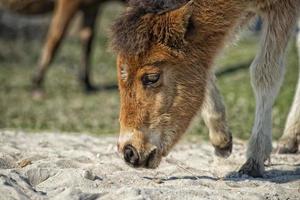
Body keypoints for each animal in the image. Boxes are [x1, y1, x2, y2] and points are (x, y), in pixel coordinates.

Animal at [110, 0, 300, 178]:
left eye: (151, 78)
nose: (129, 152)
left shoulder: (281, 8)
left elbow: (264, 73)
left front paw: (255, 160)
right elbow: (208, 66)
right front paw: (221, 139)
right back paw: (290, 139)